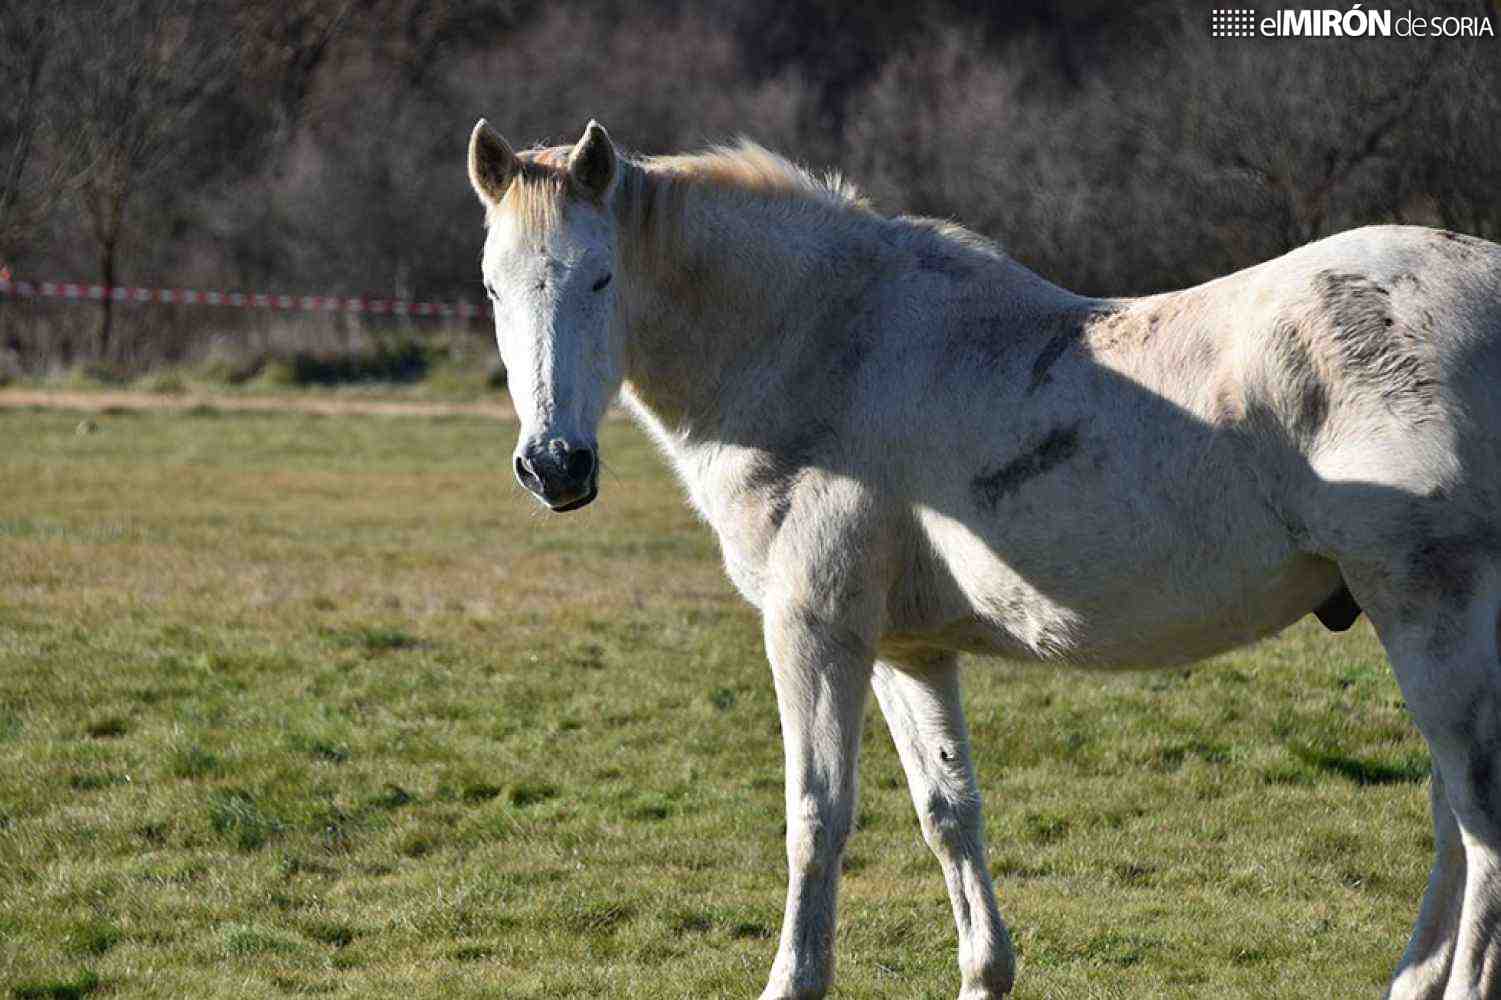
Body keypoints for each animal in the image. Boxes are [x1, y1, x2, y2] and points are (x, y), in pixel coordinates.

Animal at [462, 118, 1501, 996]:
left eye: (601, 278)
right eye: (494, 286)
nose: (554, 466)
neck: (822, 346)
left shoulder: (813, 631)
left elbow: (816, 816)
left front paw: (793, 978)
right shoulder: (904, 650)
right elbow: (946, 811)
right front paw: (982, 974)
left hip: (1432, 619)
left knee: (1478, 820)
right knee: (1450, 817)